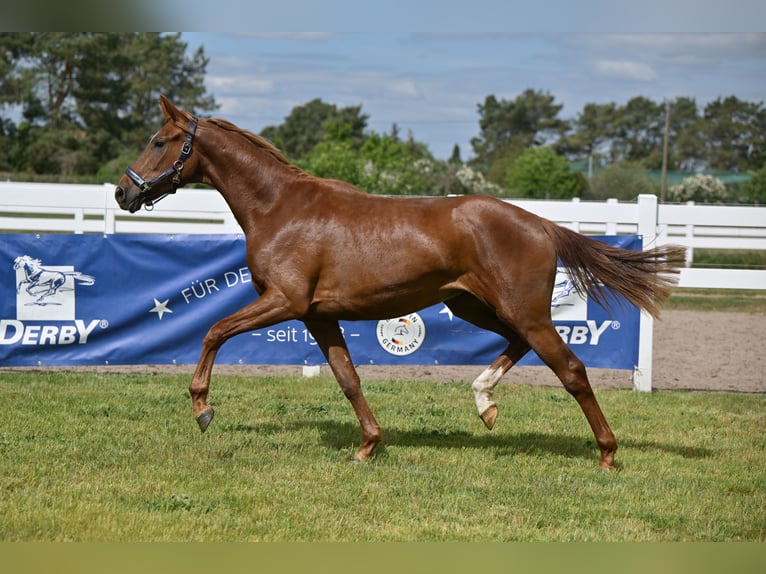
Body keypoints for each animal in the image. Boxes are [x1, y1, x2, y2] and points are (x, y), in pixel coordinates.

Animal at [115, 95, 685, 470]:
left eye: (160, 141)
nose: (124, 192)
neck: (279, 209)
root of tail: (541, 224)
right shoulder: (318, 315)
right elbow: (348, 379)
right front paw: (368, 445)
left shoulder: (284, 301)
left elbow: (213, 331)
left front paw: (203, 409)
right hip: (476, 307)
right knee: (520, 347)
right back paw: (485, 403)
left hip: (522, 311)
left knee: (571, 370)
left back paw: (607, 455)